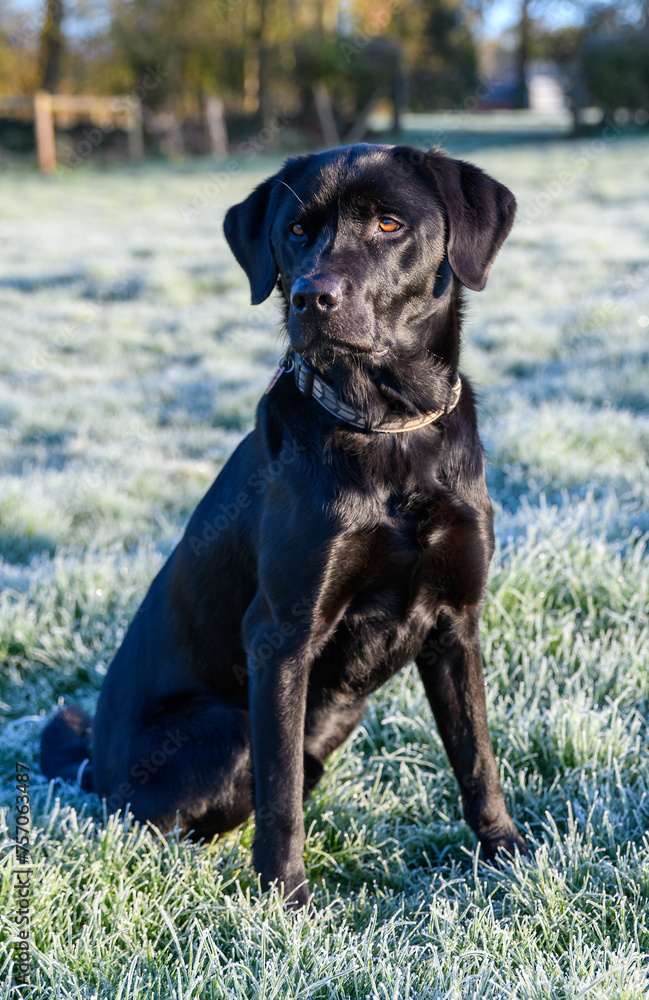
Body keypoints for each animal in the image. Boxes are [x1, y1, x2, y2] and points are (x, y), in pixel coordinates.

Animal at [40, 145, 528, 912]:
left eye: (389, 224)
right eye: (296, 231)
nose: (310, 298)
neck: (389, 428)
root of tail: (95, 767)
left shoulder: (456, 623)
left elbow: (476, 757)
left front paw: (507, 855)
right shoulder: (281, 634)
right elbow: (280, 796)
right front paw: (285, 900)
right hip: (225, 726)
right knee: (156, 824)